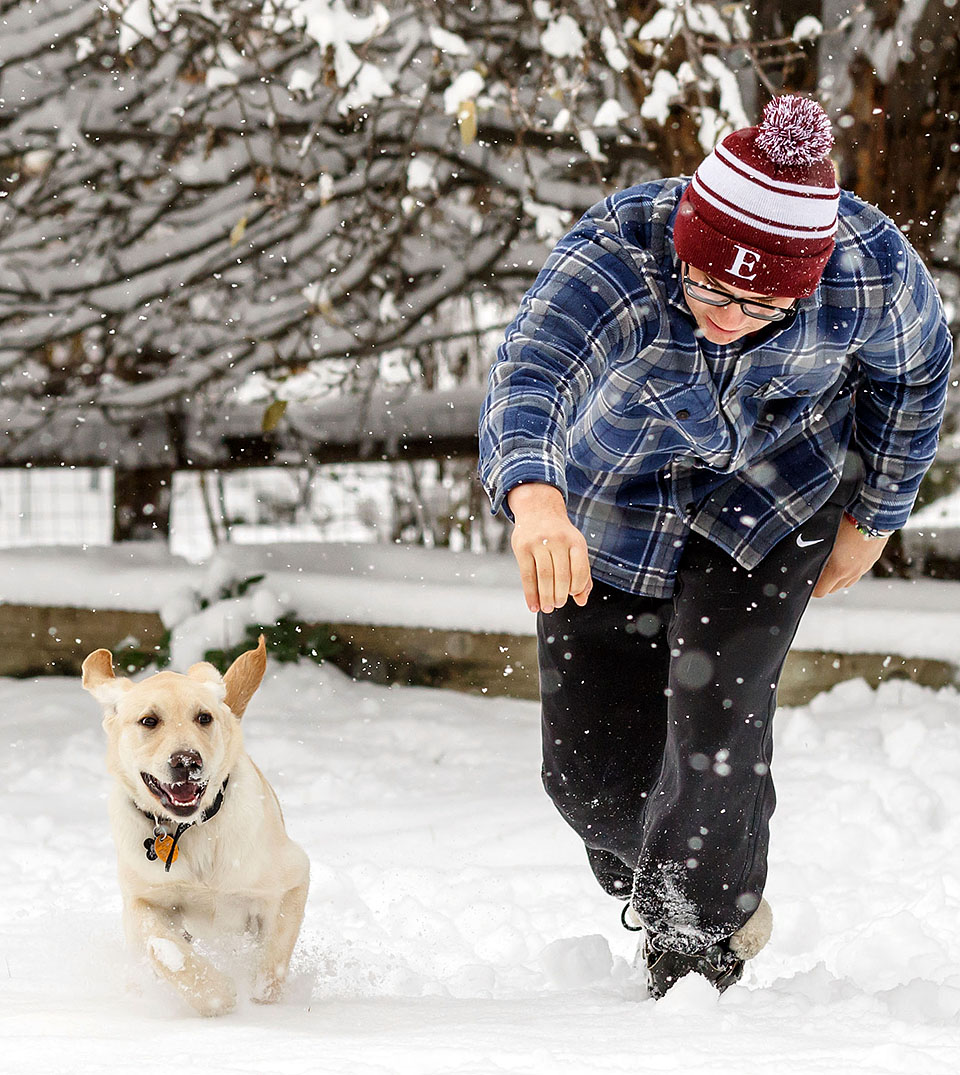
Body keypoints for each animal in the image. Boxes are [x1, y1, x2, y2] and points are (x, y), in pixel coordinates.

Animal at [82, 636, 309, 1014]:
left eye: (203, 717)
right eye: (149, 720)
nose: (187, 761)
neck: (188, 829)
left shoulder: (292, 879)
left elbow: (272, 961)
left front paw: (261, 1000)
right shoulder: (142, 898)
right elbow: (162, 947)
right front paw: (217, 994)